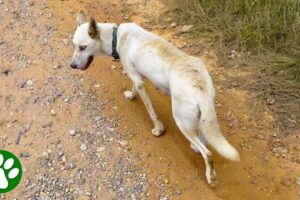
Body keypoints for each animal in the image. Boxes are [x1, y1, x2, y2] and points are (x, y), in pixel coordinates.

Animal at [70, 10, 239, 186]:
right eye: (73, 45)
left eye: (83, 47)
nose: (72, 66)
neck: (115, 37)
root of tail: (199, 86)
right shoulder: (137, 77)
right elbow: (133, 89)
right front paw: (131, 95)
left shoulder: (138, 81)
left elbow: (152, 112)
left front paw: (158, 129)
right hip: (201, 116)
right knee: (204, 138)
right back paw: (196, 148)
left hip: (181, 121)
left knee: (208, 152)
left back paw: (210, 176)